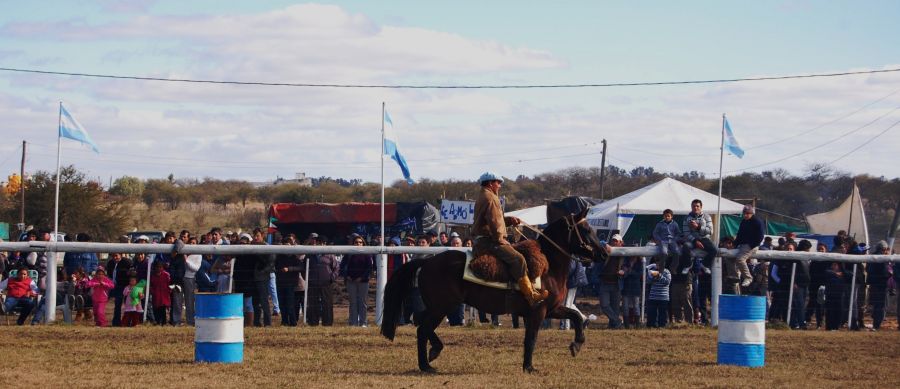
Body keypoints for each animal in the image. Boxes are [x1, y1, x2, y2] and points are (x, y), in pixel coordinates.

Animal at [376, 209, 608, 372]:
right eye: (586, 230)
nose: (604, 254)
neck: (548, 266)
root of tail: (427, 261)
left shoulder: (552, 309)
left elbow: (576, 317)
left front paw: (576, 345)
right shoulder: (538, 311)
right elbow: (531, 339)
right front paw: (529, 367)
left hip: (438, 307)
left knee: (420, 322)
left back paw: (432, 353)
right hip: (442, 307)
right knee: (422, 328)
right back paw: (427, 364)